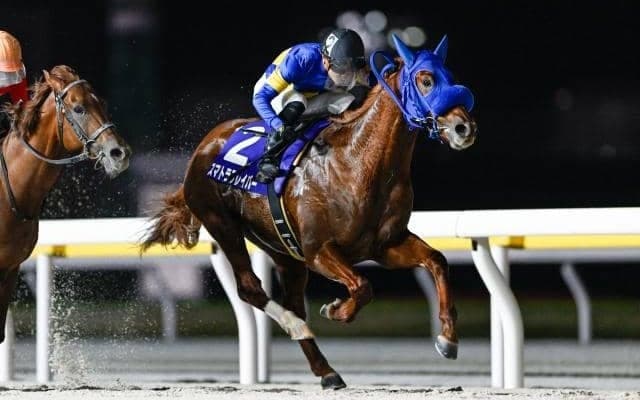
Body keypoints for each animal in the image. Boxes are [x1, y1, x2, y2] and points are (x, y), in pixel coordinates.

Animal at [140, 34, 476, 389]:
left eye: (450, 75)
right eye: (426, 80)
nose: (464, 128)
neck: (359, 162)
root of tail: (204, 146)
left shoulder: (386, 245)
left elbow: (437, 261)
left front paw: (448, 339)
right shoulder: (318, 251)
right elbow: (363, 285)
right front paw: (336, 309)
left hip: (283, 249)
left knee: (292, 301)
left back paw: (326, 369)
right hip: (222, 223)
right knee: (250, 288)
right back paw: (295, 326)